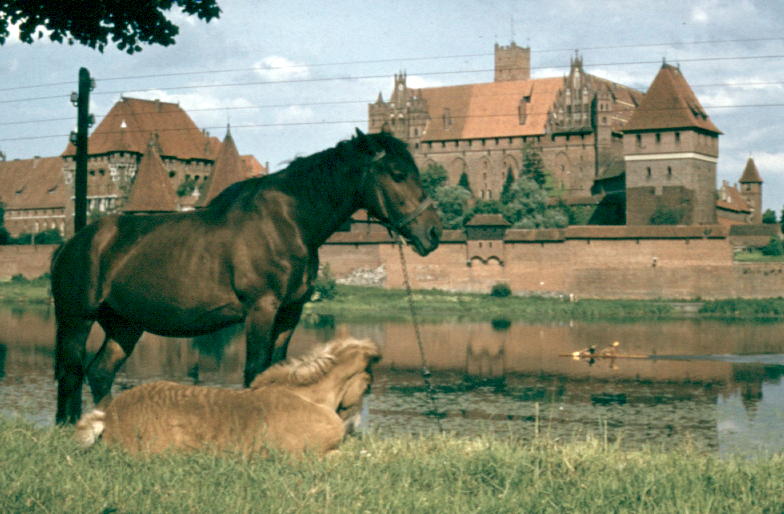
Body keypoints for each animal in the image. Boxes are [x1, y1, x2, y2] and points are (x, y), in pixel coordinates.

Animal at [52, 129, 441, 424]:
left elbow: (278, 370)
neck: (288, 222)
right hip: (77, 319)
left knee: (100, 372)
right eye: (397, 174)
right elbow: (255, 370)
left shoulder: (289, 313)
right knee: (72, 374)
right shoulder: (261, 309)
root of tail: (73, 242)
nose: (433, 232)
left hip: (125, 325)